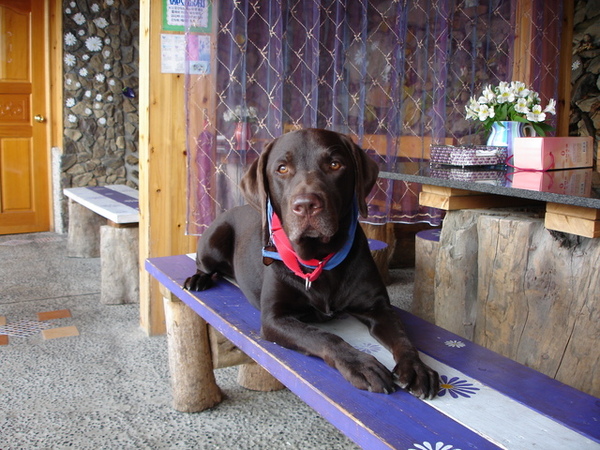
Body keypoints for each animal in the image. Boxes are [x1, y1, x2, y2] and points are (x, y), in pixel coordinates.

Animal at [185, 127, 438, 398]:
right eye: (282, 168)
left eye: (335, 164)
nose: (306, 205)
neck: (318, 259)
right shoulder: (275, 318)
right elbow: (323, 336)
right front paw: (361, 364)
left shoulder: (378, 307)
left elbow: (402, 337)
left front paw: (417, 367)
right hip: (214, 239)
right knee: (204, 264)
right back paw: (197, 279)